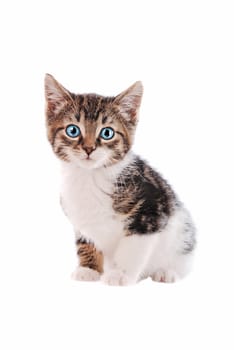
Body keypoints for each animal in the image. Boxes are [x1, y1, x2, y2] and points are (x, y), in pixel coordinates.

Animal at [44, 74, 196, 284]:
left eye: (107, 133)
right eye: (73, 130)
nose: (89, 148)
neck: (91, 176)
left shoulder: (152, 210)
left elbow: (132, 247)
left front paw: (121, 274)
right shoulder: (78, 214)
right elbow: (85, 238)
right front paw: (88, 269)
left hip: (182, 236)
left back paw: (166, 272)